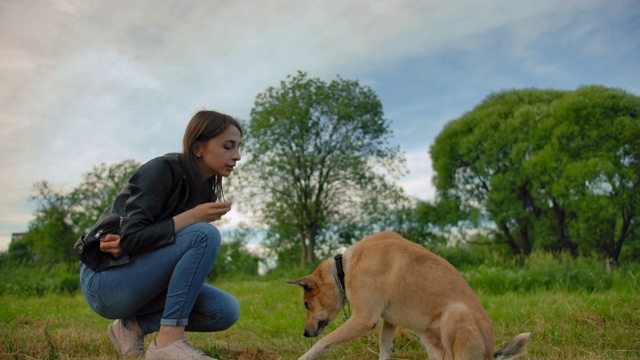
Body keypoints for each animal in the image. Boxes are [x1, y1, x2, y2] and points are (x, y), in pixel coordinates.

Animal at [288, 232, 532, 358]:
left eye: (307, 305)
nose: (305, 333)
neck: (344, 268)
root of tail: (490, 354)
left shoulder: (365, 319)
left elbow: (323, 343)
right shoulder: (389, 321)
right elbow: (385, 348)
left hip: (456, 314)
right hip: (431, 339)